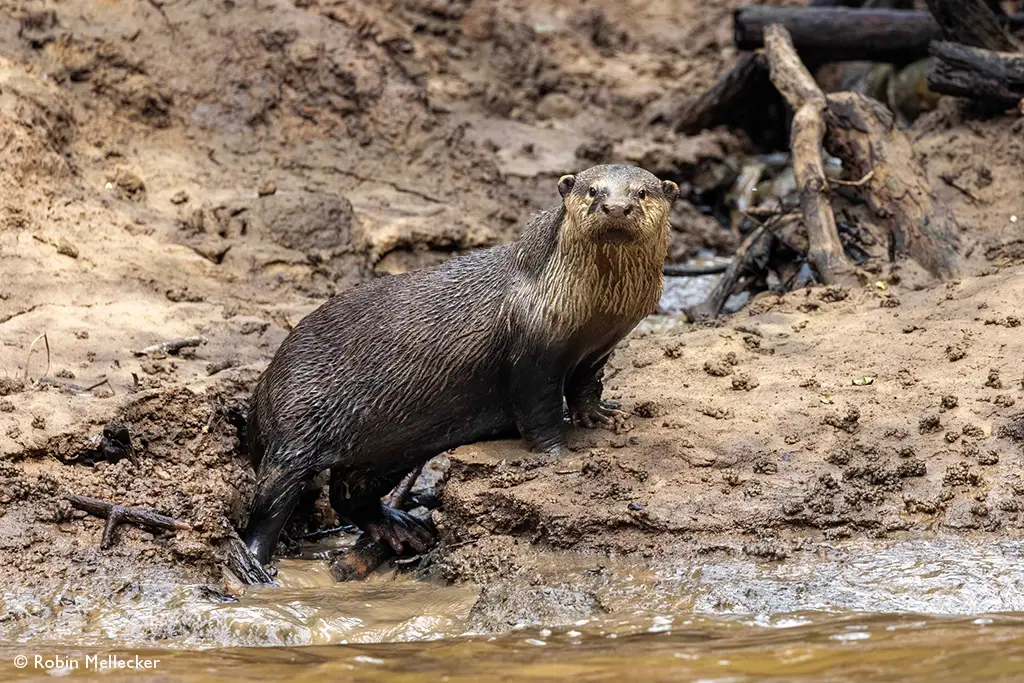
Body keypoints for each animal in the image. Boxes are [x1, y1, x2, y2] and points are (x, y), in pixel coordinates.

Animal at [242, 164, 679, 567]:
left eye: (642, 192)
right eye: (592, 190)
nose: (616, 206)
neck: (591, 313)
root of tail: (264, 382)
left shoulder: (599, 348)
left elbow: (586, 385)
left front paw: (601, 416)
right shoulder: (530, 354)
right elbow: (538, 410)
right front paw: (558, 454)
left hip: (384, 452)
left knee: (347, 496)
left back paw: (400, 529)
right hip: (295, 429)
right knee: (268, 503)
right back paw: (252, 564)